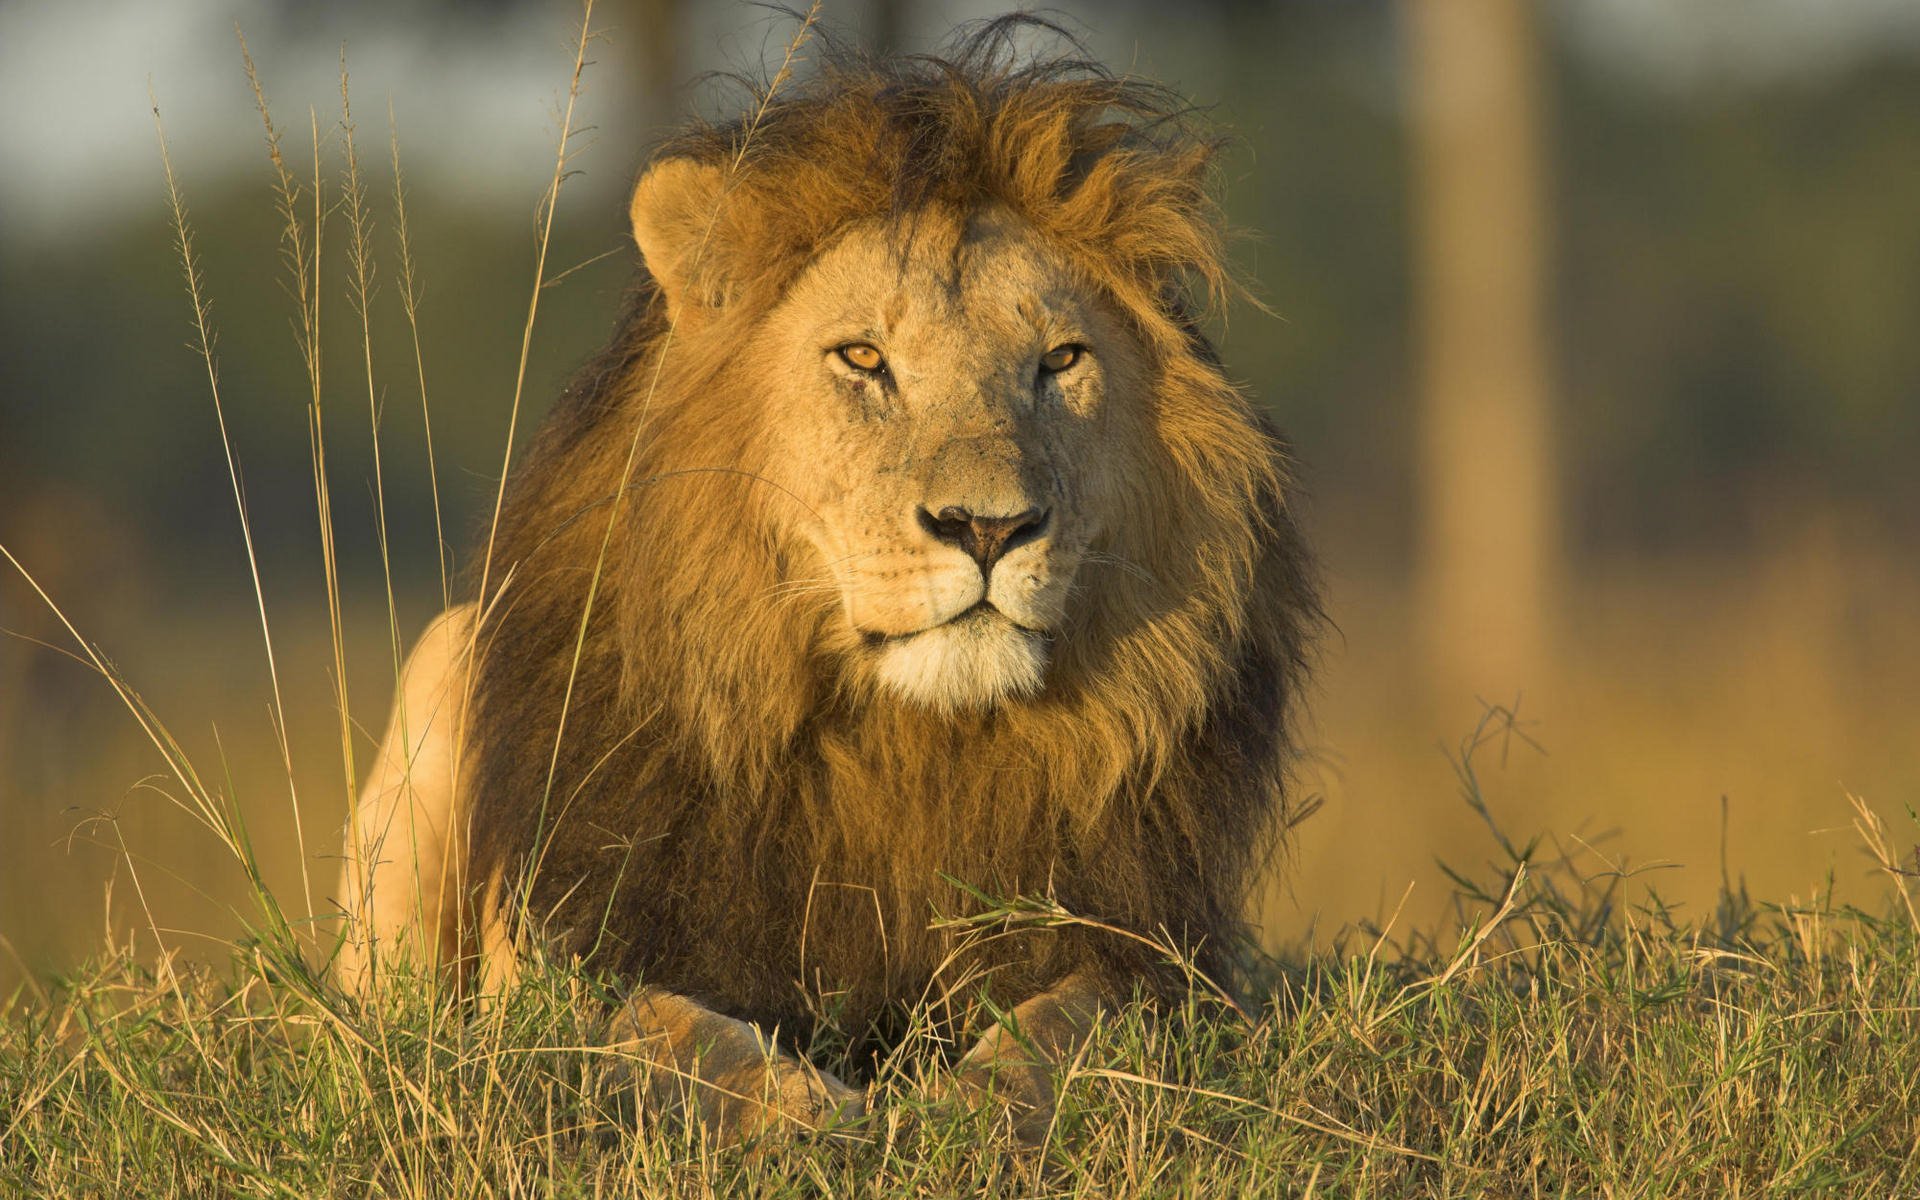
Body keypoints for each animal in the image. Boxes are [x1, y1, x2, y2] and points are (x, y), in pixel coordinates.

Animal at [336, 20, 1320, 1145]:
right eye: (863, 359)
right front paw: (808, 1116)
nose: (989, 526)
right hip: (442, 665)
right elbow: (670, 1031)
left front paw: (969, 1110)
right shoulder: (576, 952)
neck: (910, 748)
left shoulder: (1154, 953)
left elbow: (1071, 1023)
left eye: (1061, 361)